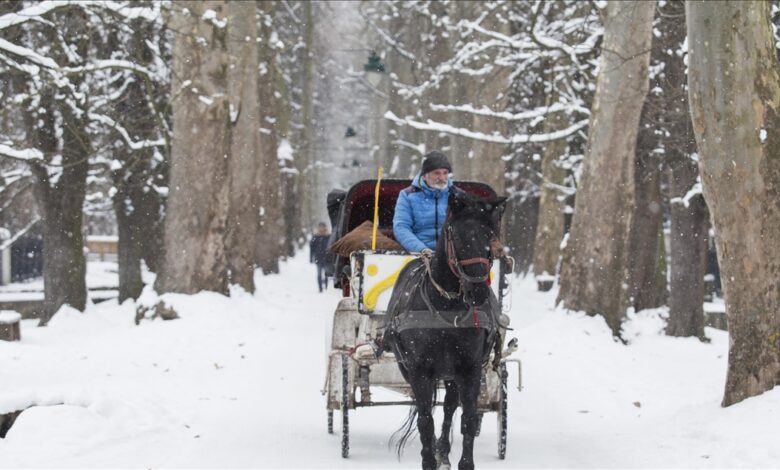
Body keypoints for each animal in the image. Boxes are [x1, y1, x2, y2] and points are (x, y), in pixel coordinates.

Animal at [382, 191, 506, 470]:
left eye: (490, 237)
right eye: (458, 237)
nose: (478, 291)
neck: (447, 305)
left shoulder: (470, 368)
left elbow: (467, 418)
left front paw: (463, 462)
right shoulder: (419, 370)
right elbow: (425, 420)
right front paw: (428, 460)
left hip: (452, 372)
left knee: (449, 405)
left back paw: (443, 450)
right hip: (409, 369)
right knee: (427, 409)